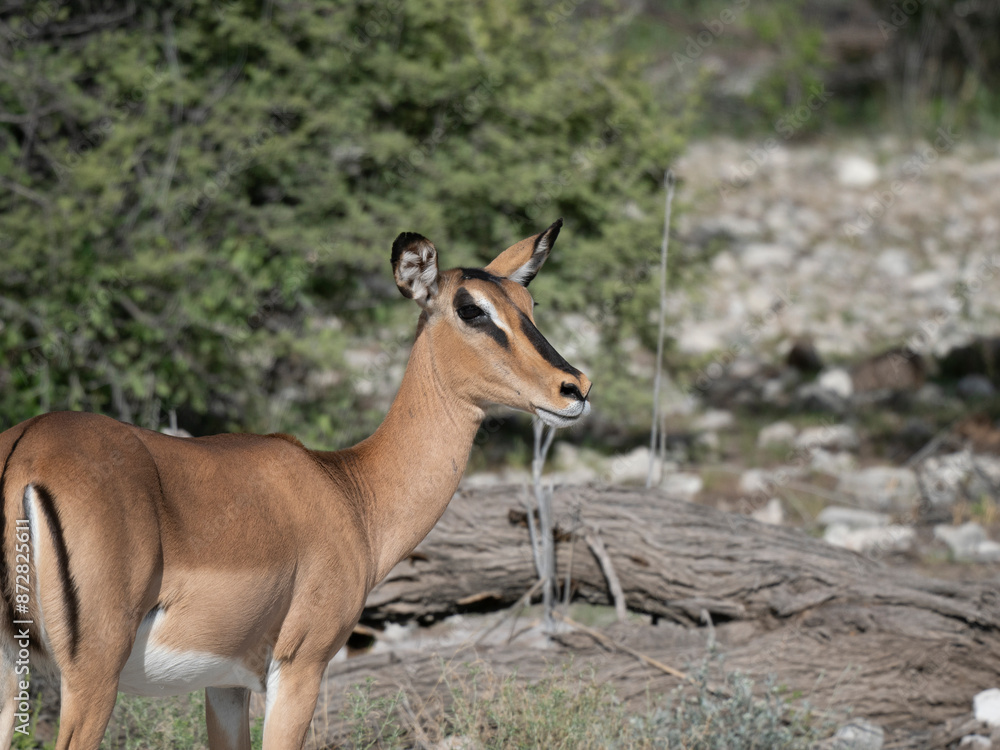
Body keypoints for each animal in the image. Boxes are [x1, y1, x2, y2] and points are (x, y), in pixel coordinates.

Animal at [0, 220, 591, 749]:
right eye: (471, 309)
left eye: (529, 304)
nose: (575, 387)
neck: (347, 489)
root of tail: (25, 452)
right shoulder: (299, 667)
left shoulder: (225, 685)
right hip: (93, 676)